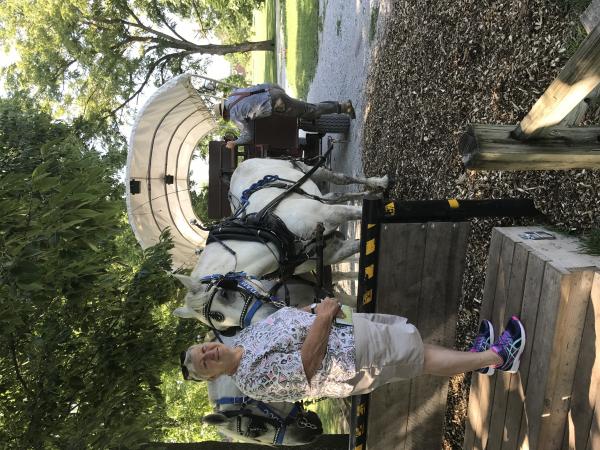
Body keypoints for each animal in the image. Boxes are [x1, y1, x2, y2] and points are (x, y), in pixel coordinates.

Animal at [175, 159, 390, 330]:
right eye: (225, 328)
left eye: (226, 294)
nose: (273, 318)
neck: (272, 238)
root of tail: (239, 166)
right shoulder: (332, 253)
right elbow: (360, 246)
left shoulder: (332, 214)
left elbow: (359, 214)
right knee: (335, 196)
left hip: (307, 169)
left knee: (340, 178)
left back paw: (379, 183)